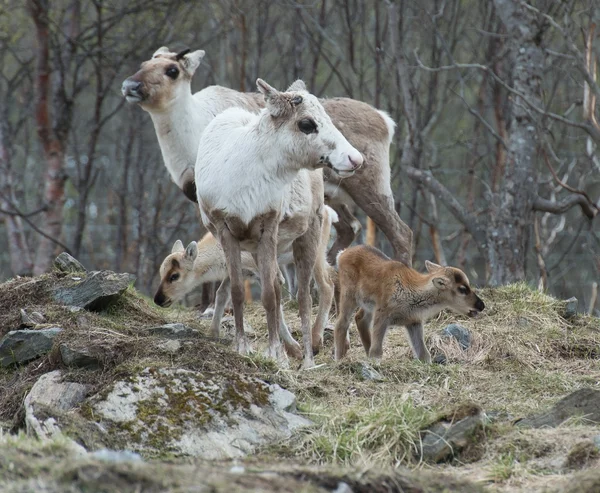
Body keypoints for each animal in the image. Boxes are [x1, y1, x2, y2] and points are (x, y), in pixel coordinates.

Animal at [336, 245, 486, 362]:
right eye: (462, 289)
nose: (481, 305)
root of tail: (342, 253)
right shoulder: (382, 316)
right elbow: (377, 350)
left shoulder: (414, 322)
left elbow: (423, 354)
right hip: (349, 297)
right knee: (342, 323)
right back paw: (339, 359)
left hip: (366, 307)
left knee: (359, 319)